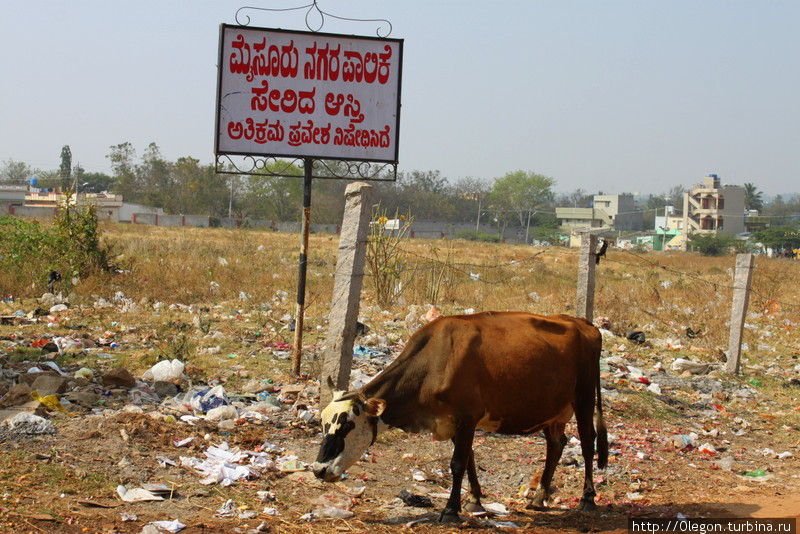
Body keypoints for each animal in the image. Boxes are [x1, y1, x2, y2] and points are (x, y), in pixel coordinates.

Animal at [310, 312, 608, 520]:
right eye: (322, 424)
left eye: (347, 425)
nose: (319, 470)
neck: (435, 363)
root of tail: (584, 324)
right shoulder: (452, 422)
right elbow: (469, 461)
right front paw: (475, 500)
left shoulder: (467, 417)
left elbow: (457, 463)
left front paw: (450, 510)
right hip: (551, 410)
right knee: (556, 445)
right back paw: (539, 497)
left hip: (583, 397)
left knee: (587, 442)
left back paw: (587, 498)